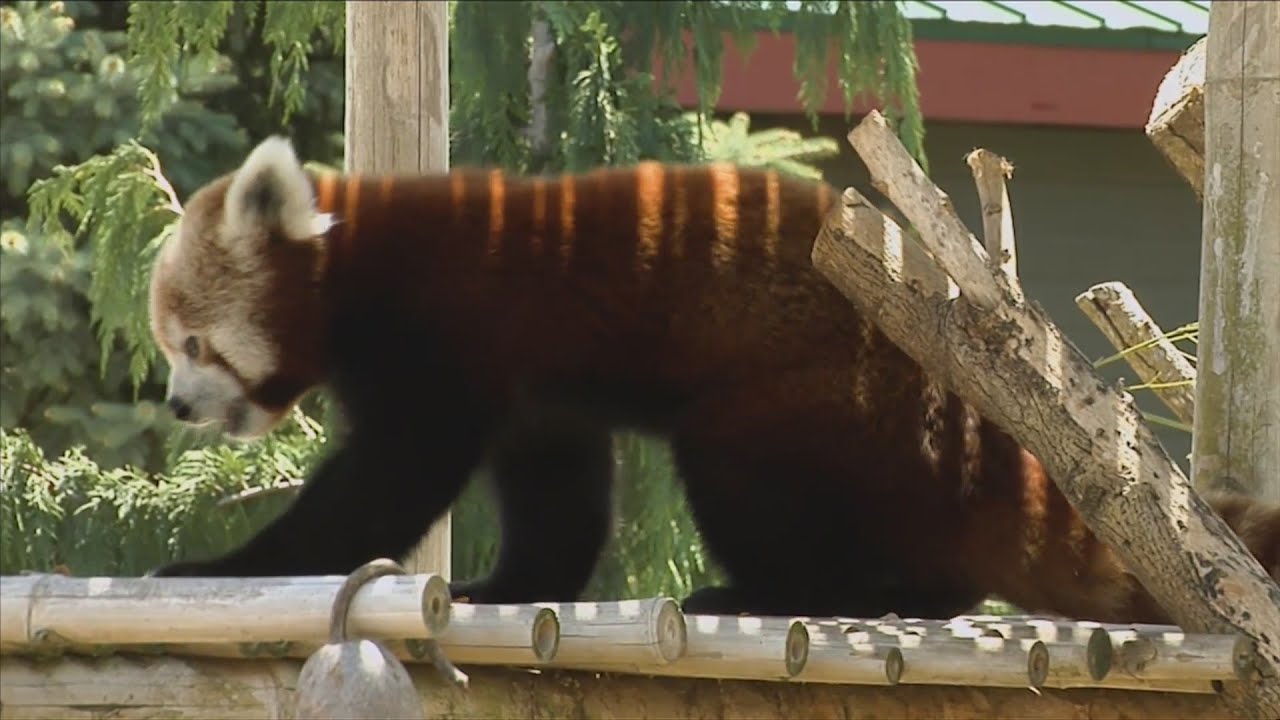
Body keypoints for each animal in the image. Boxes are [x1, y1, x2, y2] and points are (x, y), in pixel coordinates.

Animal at [146, 135, 1280, 623]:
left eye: (192, 344)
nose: (173, 404)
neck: (359, 262)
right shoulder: (537, 391)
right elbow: (556, 497)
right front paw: (512, 587)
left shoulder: (444, 338)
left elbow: (381, 484)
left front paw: (221, 567)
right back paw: (915, 593)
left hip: (814, 401)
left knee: (742, 470)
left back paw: (782, 593)